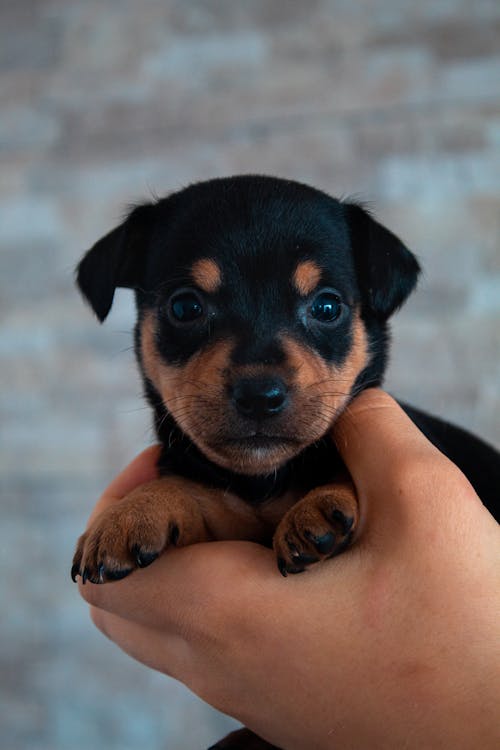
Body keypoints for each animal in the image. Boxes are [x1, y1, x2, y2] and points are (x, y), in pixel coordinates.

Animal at [71, 175, 500, 750]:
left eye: (327, 307)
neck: (264, 480)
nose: (260, 395)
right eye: (185, 308)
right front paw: (128, 516)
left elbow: (339, 471)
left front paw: (317, 507)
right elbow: (186, 490)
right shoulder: (222, 512)